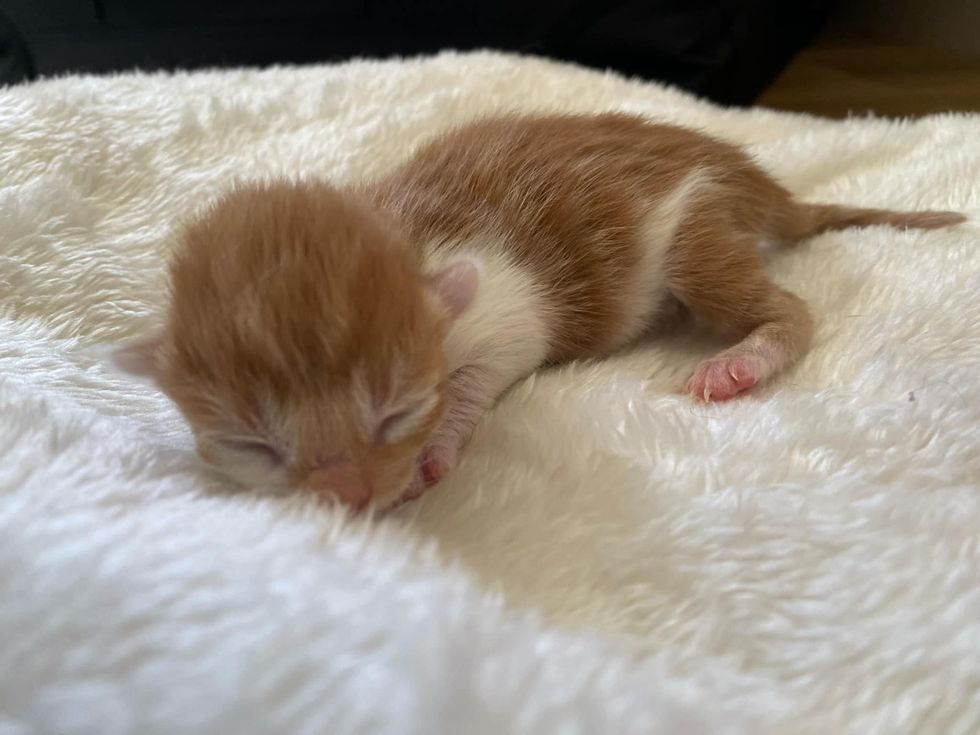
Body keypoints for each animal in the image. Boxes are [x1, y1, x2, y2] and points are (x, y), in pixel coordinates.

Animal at [113, 112, 964, 508]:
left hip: (698, 227)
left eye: (397, 413)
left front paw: (438, 448)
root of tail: (767, 187)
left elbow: (491, 363)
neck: (401, 232)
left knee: (789, 306)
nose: (348, 498)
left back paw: (740, 360)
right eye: (250, 443)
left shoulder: (501, 306)